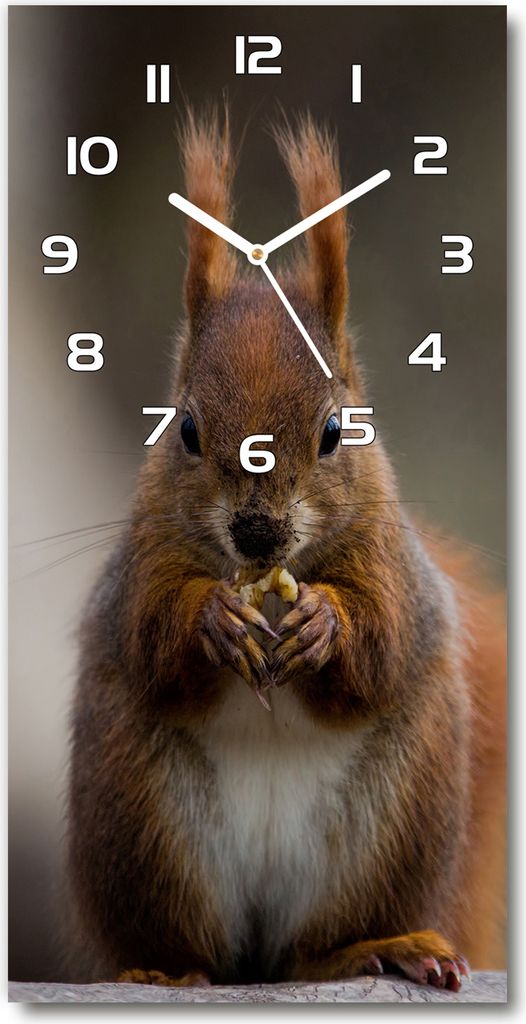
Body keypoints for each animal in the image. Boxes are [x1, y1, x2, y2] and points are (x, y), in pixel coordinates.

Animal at [66, 110, 506, 991]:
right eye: (185, 429)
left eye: (337, 431)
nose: (258, 532)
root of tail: (260, 954)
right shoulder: (141, 560)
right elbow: (150, 634)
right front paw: (211, 619)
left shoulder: (390, 562)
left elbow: (383, 641)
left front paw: (326, 625)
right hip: (139, 819)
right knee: (193, 947)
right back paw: (162, 973)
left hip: (393, 822)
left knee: (314, 948)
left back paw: (379, 947)